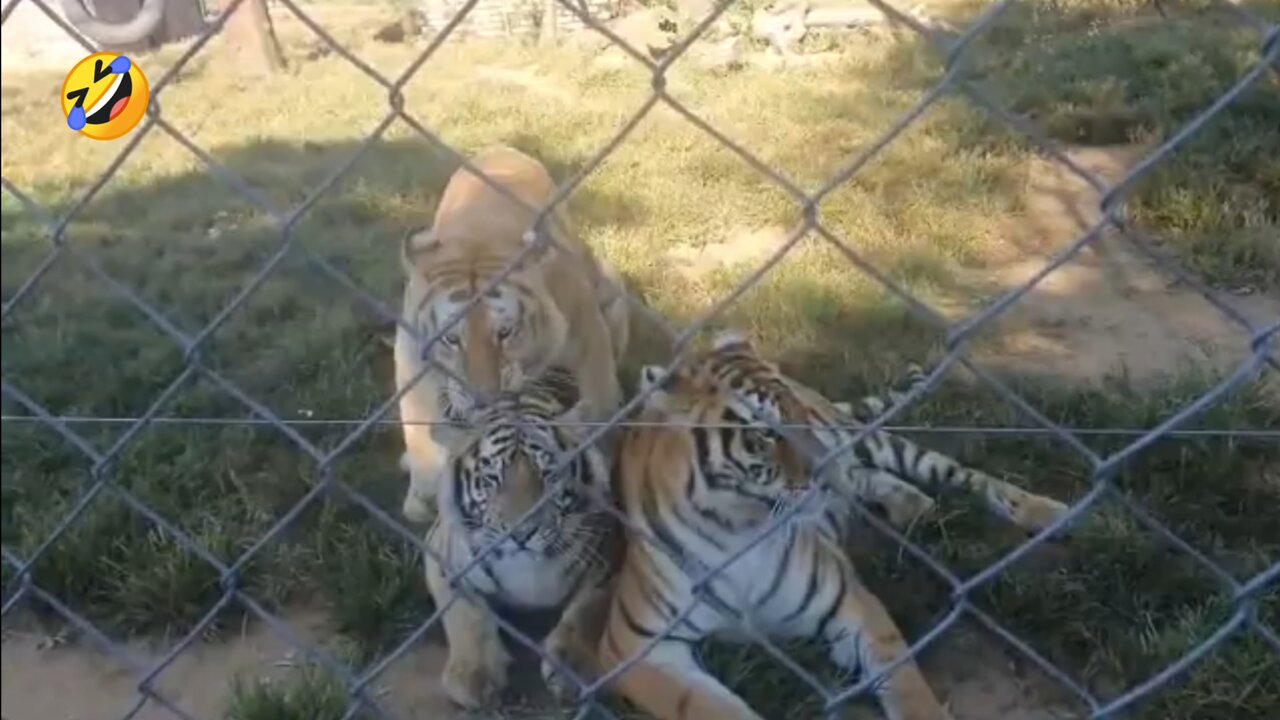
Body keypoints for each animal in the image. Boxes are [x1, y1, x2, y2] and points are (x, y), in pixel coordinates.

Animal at [391, 146, 627, 525]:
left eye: (505, 333)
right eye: (451, 339)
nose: (483, 400)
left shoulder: (588, 334)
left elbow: (598, 402)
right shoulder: (412, 351)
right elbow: (416, 420)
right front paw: (422, 497)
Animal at [599, 330, 1070, 717]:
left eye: (799, 413)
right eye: (765, 432)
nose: (827, 467)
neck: (736, 528)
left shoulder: (853, 603)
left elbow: (909, 689)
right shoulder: (636, 648)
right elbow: (712, 709)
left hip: (870, 439)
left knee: (962, 474)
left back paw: (1049, 513)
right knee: (870, 478)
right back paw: (909, 504)